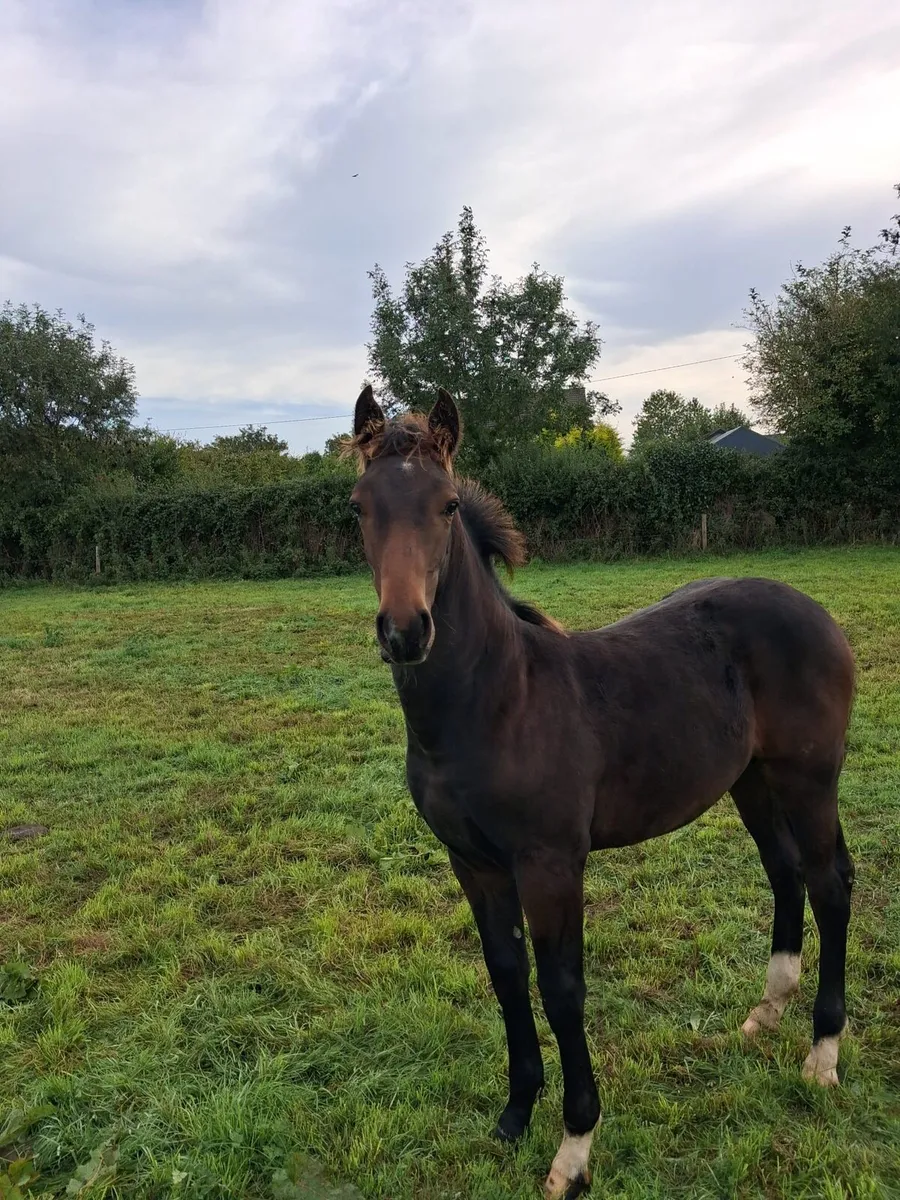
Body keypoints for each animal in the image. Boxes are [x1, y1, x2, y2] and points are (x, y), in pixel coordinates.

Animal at [345, 385, 856, 1199]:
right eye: (359, 507)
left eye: (447, 504)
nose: (404, 631)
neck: (496, 702)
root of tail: (815, 611)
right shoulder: (474, 863)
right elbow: (505, 975)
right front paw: (513, 1117)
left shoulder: (552, 864)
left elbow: (563, 989)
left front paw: (573, 1150)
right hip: (750, 781)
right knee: (785, 874)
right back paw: (766, 1013)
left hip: (809, 779)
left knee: (829, 885)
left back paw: (822, 1054)